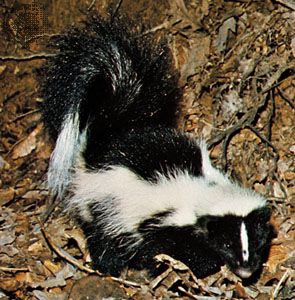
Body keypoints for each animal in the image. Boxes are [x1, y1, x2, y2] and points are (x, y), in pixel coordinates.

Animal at [40, 16, 274, 278]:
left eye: (257, 241)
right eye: (225, 243)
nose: (246, 269)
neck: (204, 189)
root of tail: (99, 148)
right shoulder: (163, 223)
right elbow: (161, 248)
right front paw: (190, 267)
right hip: (105, 208)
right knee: (103, 240)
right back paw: (109, 268)